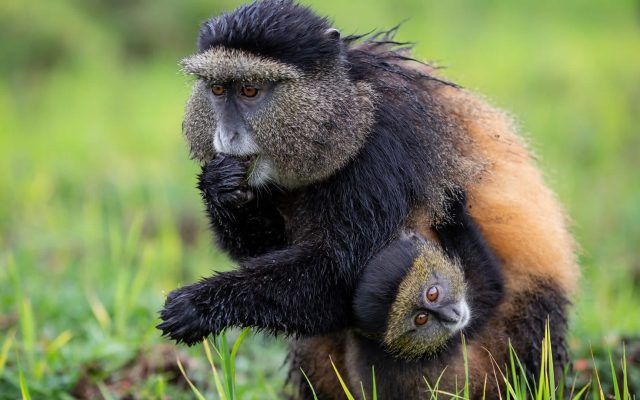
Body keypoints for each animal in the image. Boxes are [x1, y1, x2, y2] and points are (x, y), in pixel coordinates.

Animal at [346, 193, 504, 398]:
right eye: (421, 318)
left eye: (432, 294)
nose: (452, 316)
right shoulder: (452, 337)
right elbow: (489, 288)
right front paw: (454, 204)